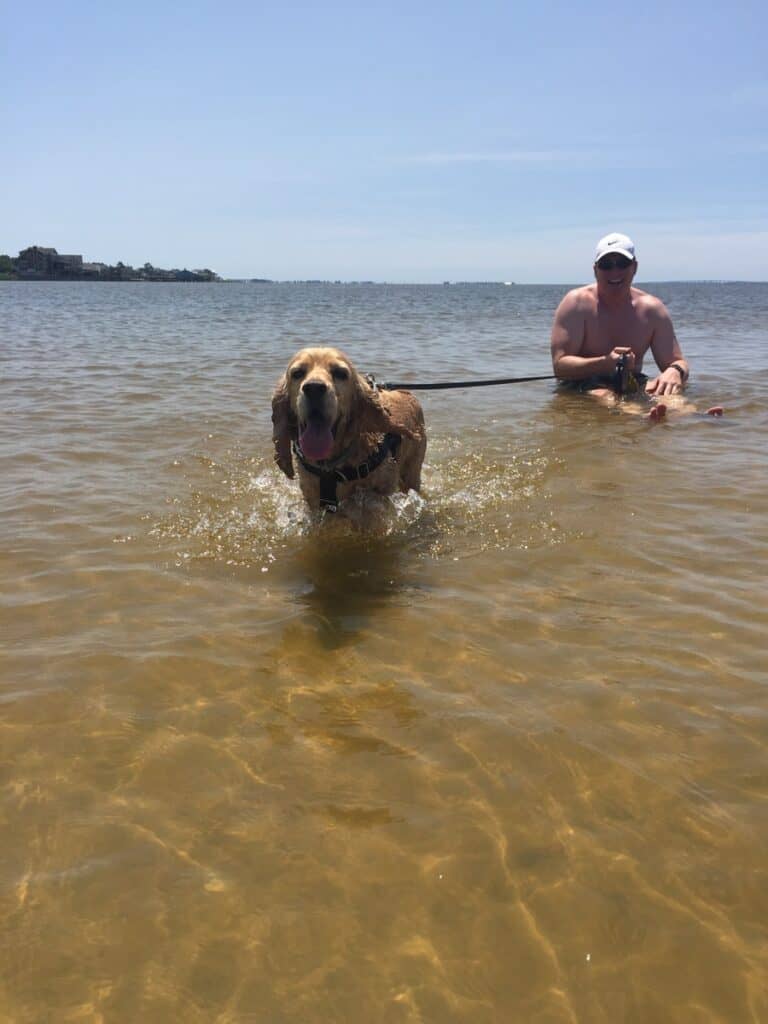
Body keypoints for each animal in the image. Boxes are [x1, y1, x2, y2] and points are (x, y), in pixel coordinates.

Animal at [270, 348, 428, 512]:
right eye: (297, 373)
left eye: (340, 373)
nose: (314, 388)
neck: (330, 466)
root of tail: (408, 393)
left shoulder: (380, 494)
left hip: (412, 472)